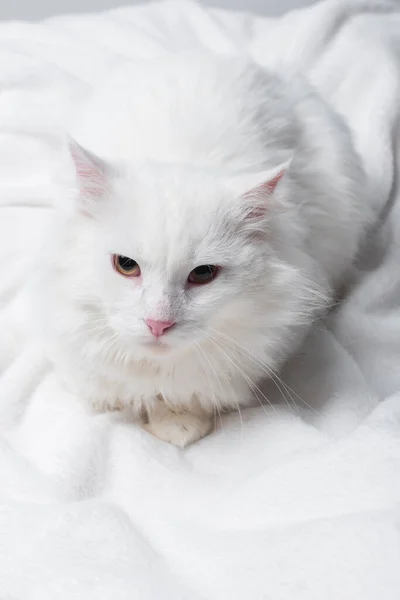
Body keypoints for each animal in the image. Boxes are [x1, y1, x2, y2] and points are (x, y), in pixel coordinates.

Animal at [32, 55, 374, 446]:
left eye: (203, 274)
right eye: (126, 265)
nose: (158, 324)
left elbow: (189, 395)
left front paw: (177, 425)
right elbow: (102, 382)